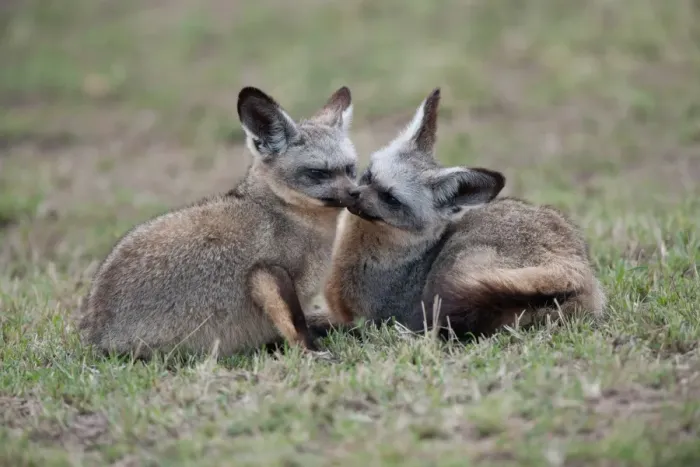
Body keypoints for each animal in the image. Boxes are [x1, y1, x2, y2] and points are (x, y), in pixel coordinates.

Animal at [78, 85, 358, 358]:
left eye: (351, 169)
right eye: (317, 173)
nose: (356, 193)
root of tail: (95, 336)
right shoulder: (266, 273)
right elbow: (296, 323)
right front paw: (313, 352)